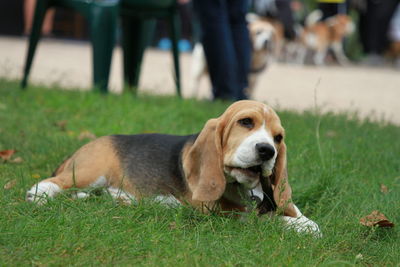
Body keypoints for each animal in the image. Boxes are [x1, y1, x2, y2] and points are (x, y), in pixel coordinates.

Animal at [26, 101, 320, 237]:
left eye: (278, 138)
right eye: (245, 122)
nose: (267, 151)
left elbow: (298, 213)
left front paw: (305, 222)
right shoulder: (220, 213)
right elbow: (263, 219)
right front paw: (294, 226)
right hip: (90, 172)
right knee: (55, 182)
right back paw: (38, 195)